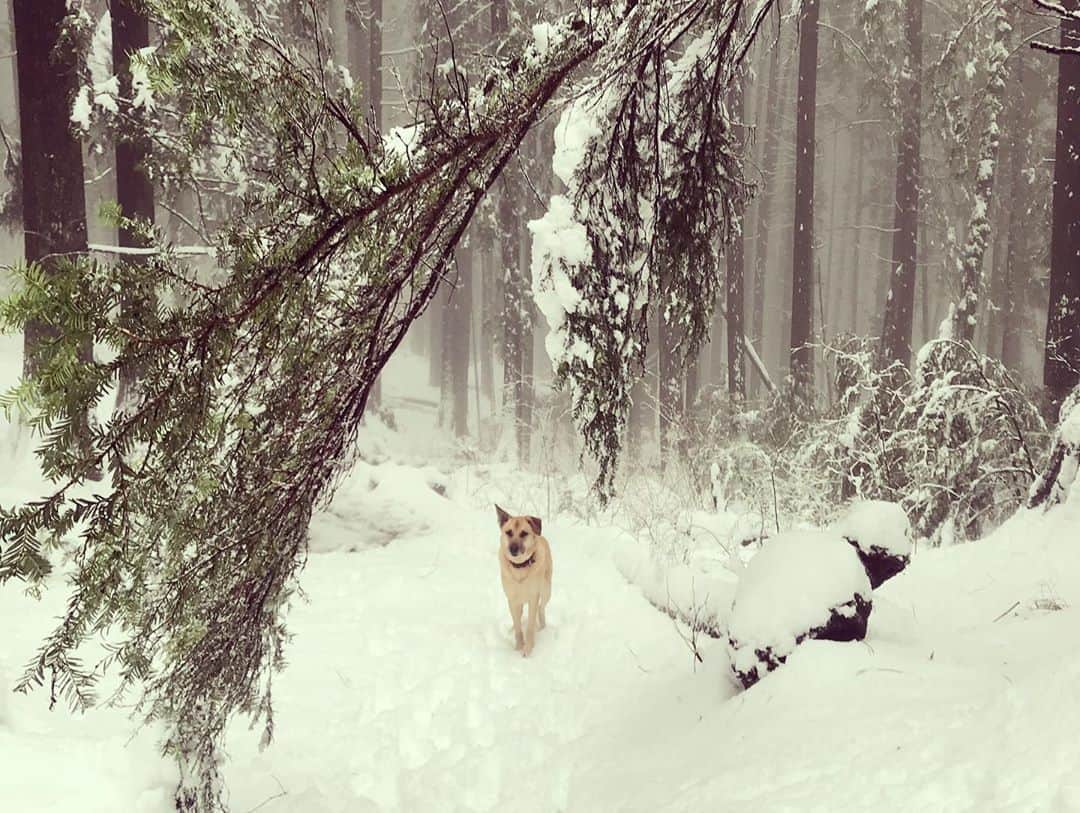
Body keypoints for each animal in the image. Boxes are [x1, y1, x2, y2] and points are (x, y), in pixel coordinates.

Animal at [494, 505, 552, 656]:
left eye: (524, 533)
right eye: (508, 532)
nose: (512, 549)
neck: (520, 567)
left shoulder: (533, 597)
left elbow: (530, 626)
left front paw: (528, 649)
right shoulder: (512, 600)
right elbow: (518, 626)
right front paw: (519, 646)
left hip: (546, 591)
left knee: (541, 609)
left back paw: (542, 627)